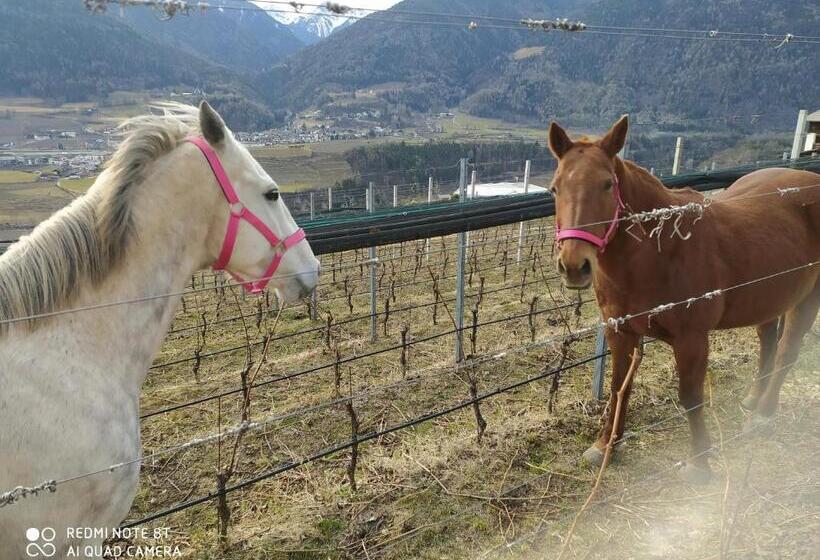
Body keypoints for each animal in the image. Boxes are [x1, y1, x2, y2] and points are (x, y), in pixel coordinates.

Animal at [547, 115, 820, 483]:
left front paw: (699, 462)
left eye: (606, 184)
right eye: (555, 188)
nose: (574, 265)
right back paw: (754, 398)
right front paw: (605, 446)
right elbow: (619, 388)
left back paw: (763, 414)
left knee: (787, 351)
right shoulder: (621, 332)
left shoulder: (692, 339)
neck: (659, 250)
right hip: (771, 295)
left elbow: (690, 396)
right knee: (768, 341)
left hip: (808, 297)